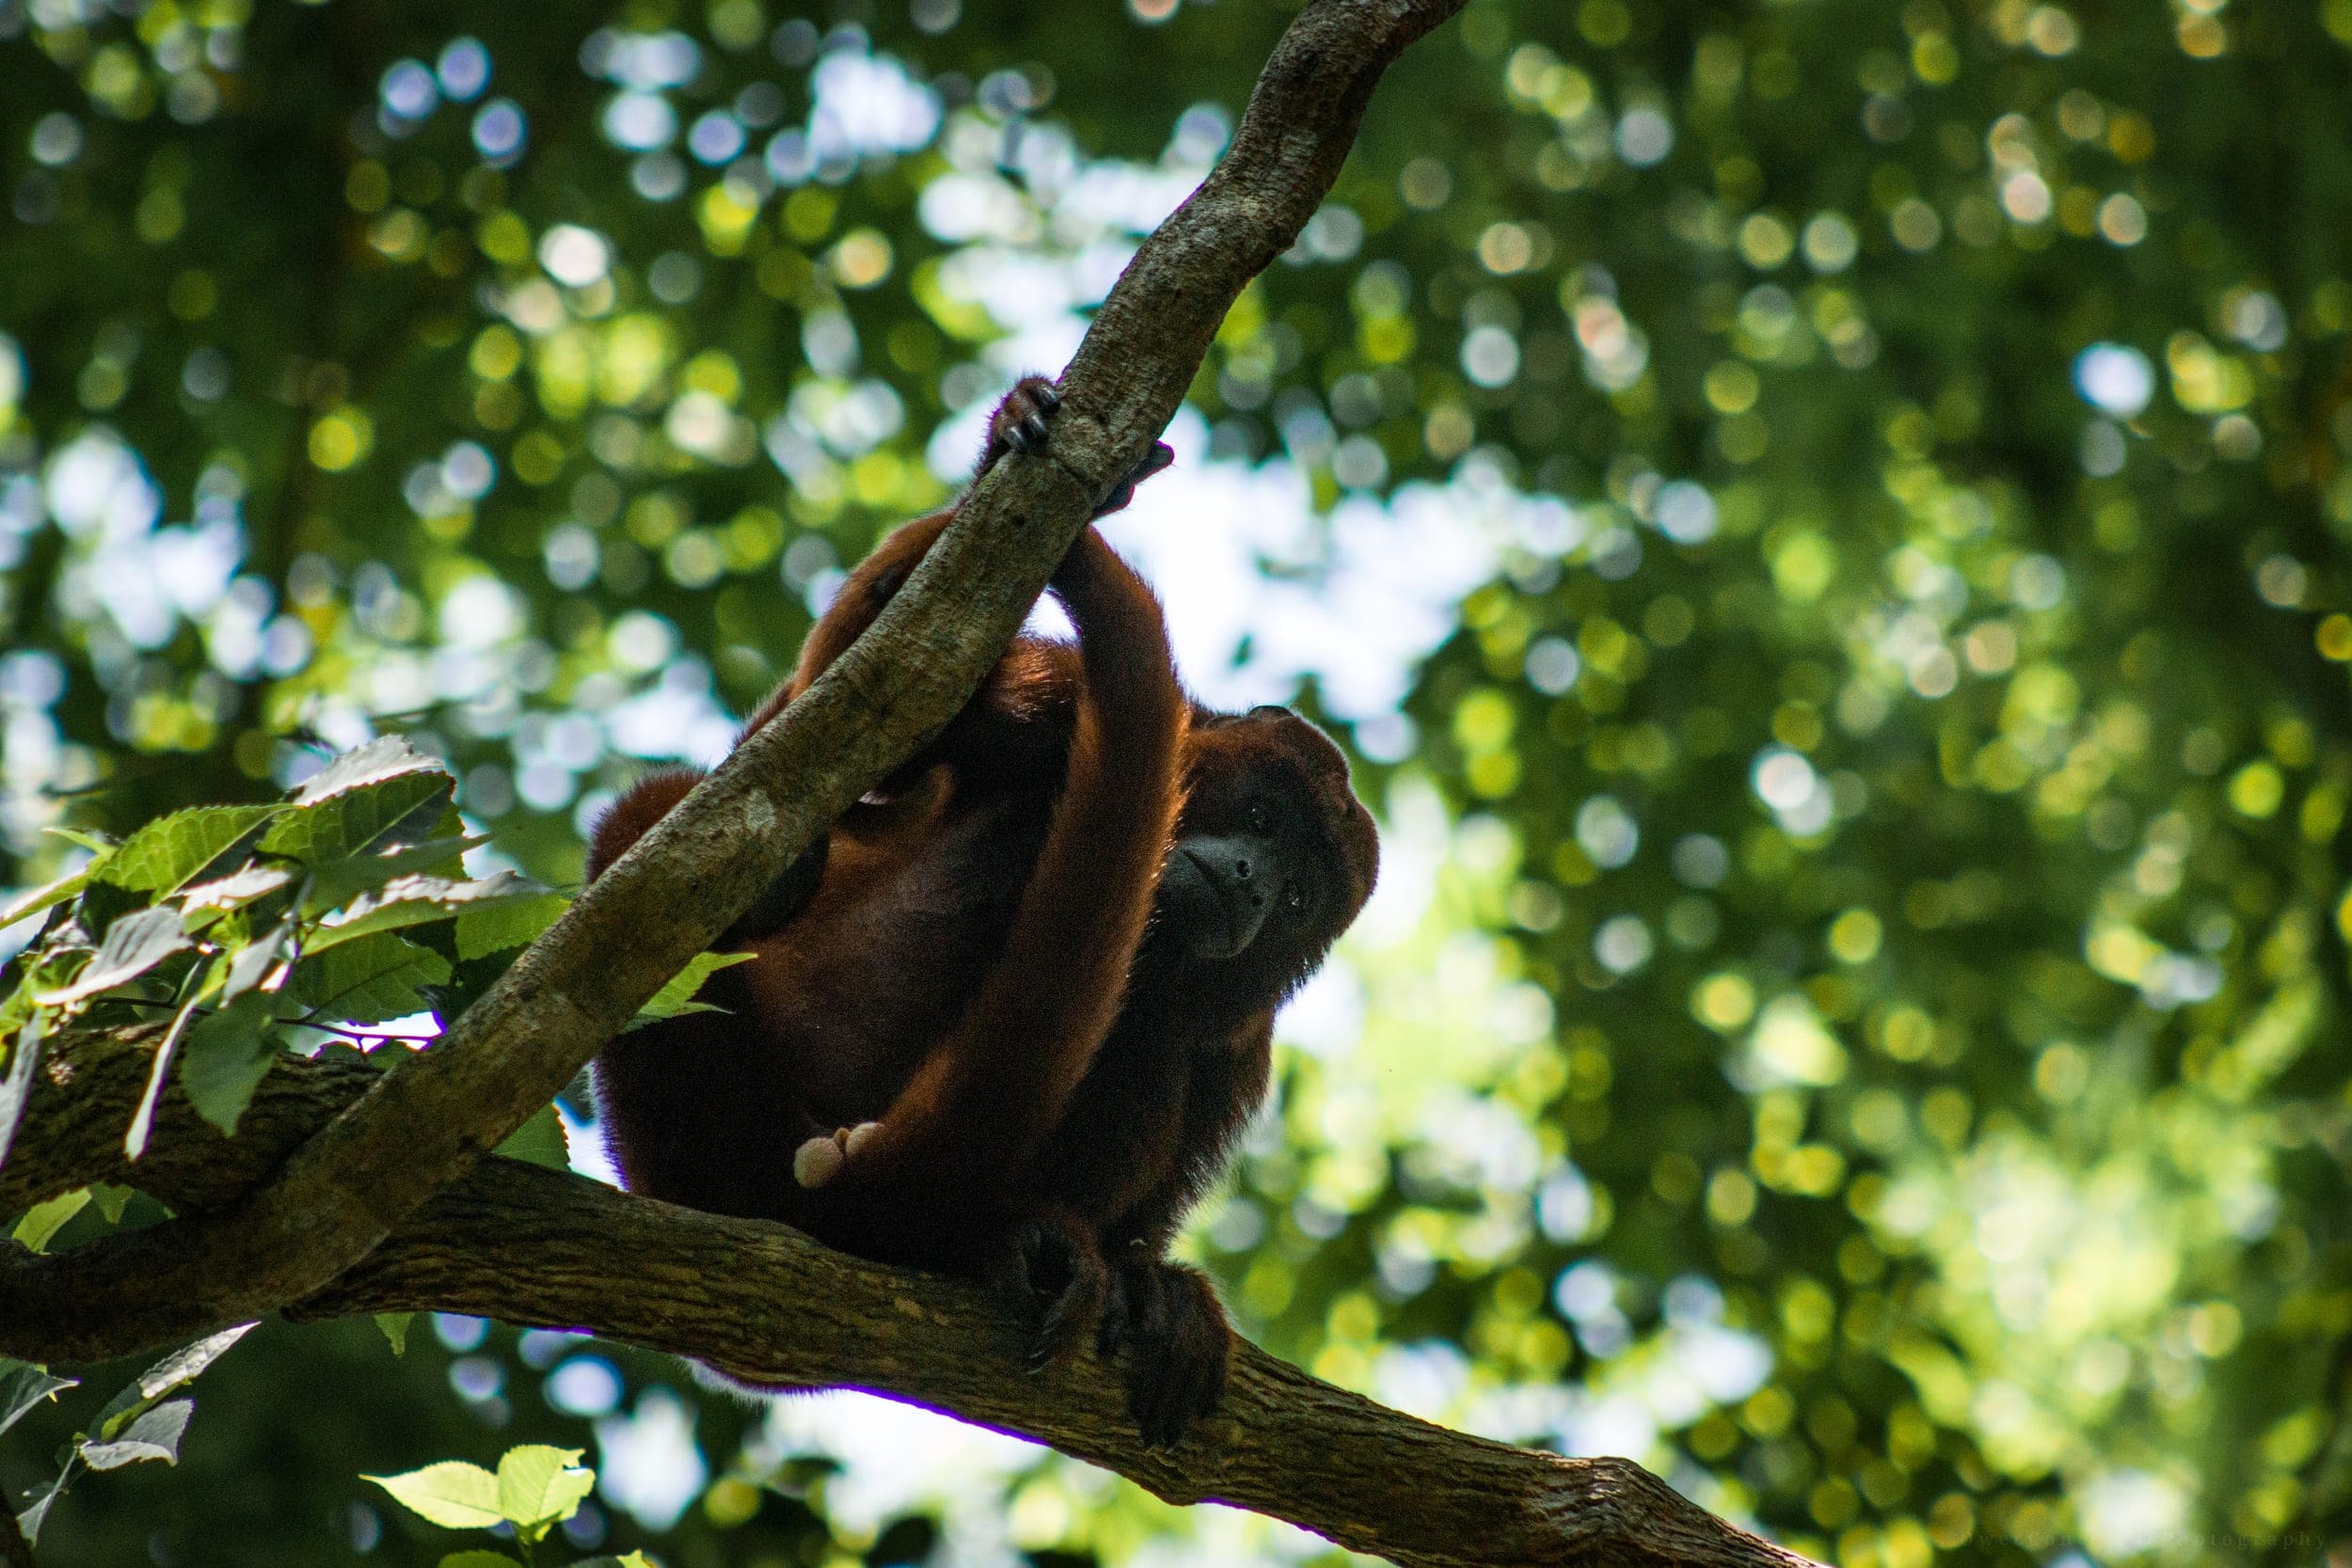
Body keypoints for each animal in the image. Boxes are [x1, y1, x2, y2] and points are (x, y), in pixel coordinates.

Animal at [586, 377, 1379, 1445]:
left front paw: (1149, 1280)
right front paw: (1022, 442)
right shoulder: (1054, 695)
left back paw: (1029, 1245)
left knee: (1153, 1024)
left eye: (1300, 895)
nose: (1256, 880)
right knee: (659, 819)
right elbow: (879, 700)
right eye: (1262, 816)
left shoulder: (1245, 1045)